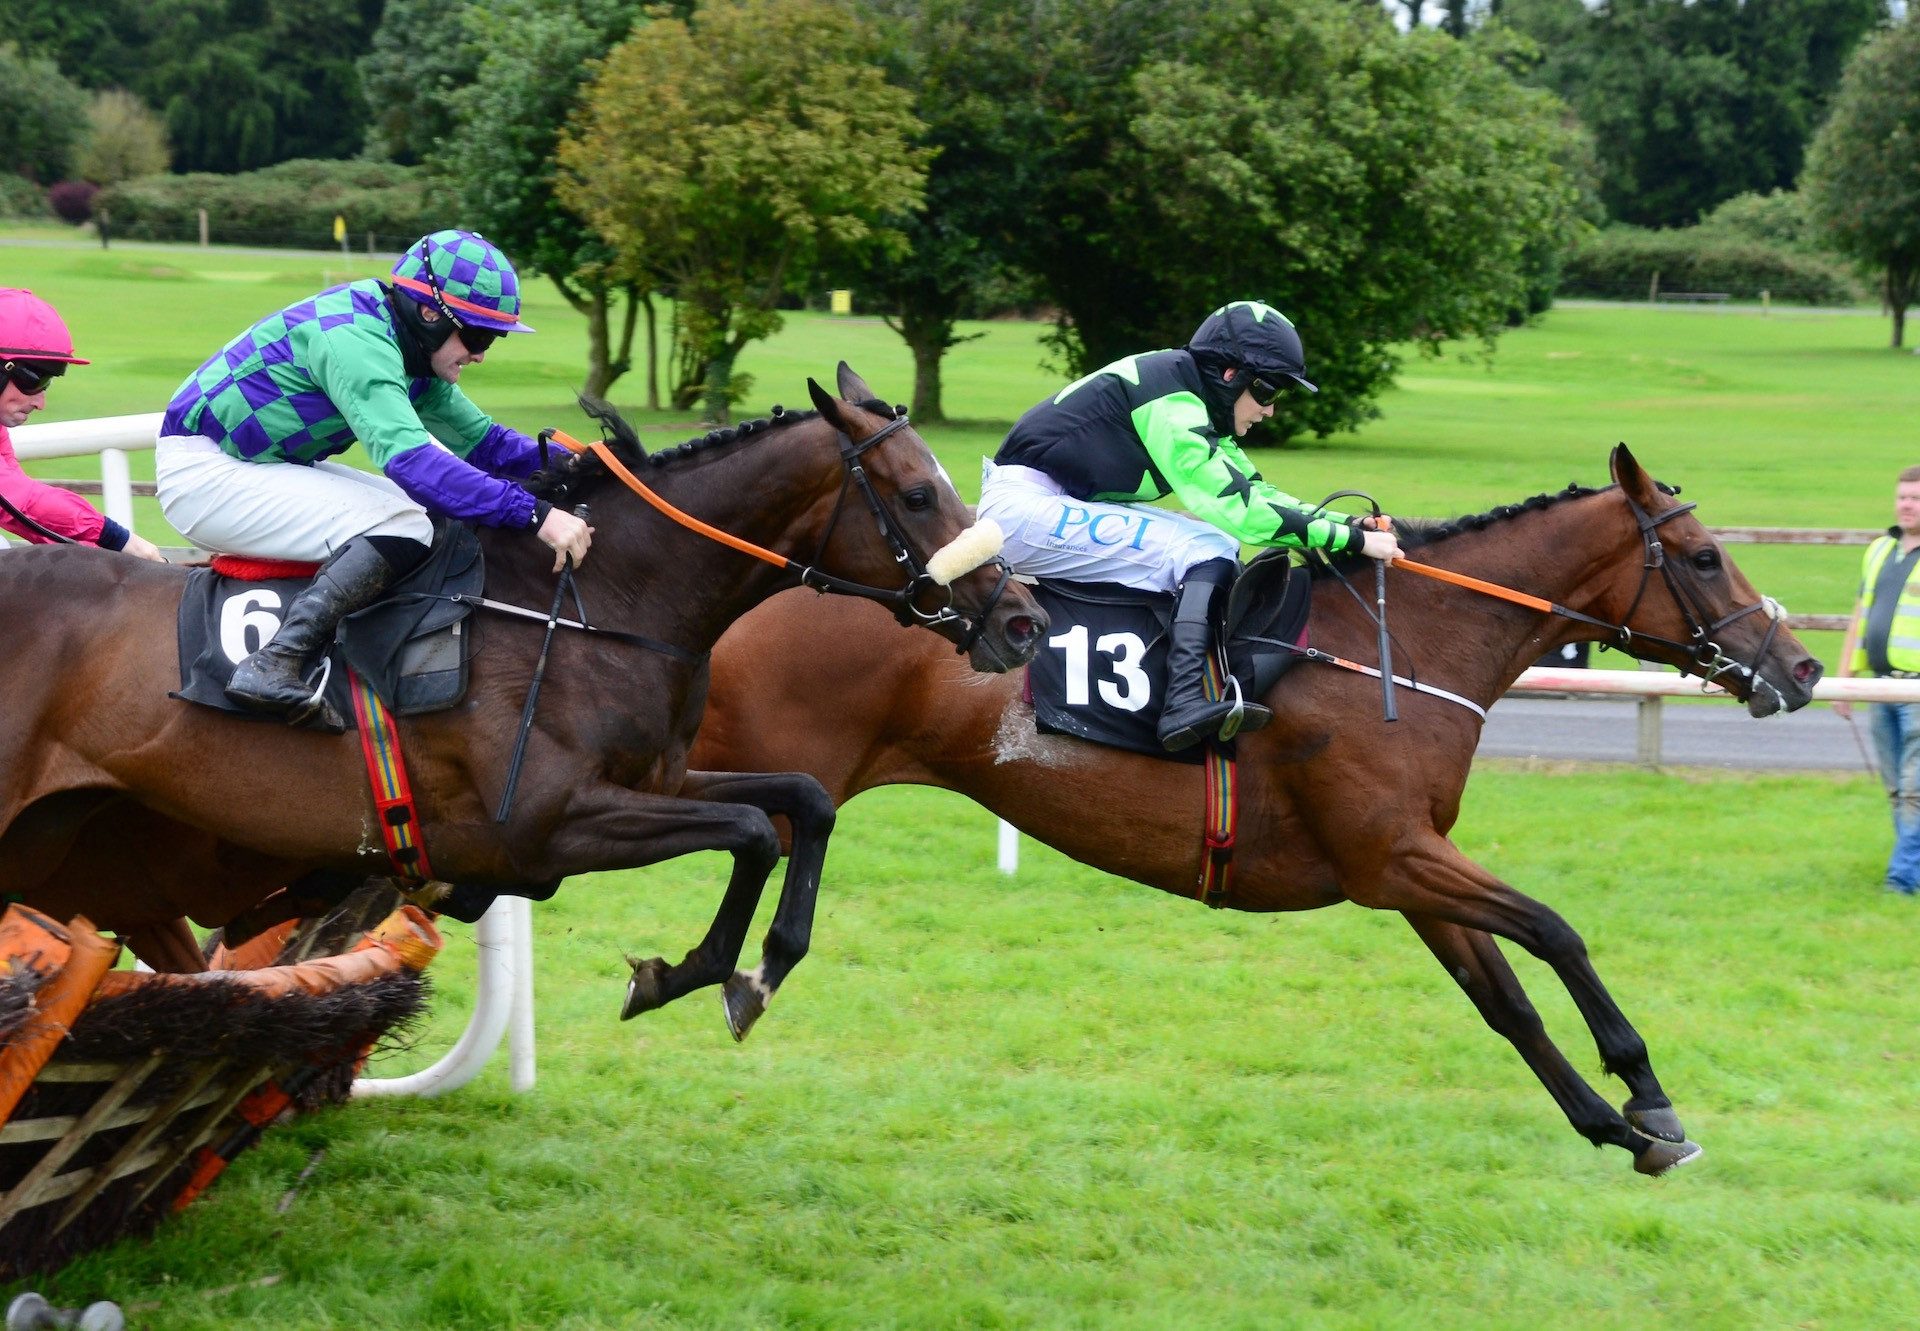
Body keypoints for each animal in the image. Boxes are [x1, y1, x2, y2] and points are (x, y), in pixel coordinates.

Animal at [0, 366, 1044, 1037]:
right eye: (918, 494)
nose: (1024, 620)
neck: (597, 603)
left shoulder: (656, 778)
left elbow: (804, 800)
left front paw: (760, 968)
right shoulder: (543, 825)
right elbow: (753, 828)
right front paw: (690, 972)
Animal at [687, 445, 1812, 1175]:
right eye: (1704, 556)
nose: (1798, 667)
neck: (1405, 644)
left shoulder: (1412, 862)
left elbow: (1508, 1002)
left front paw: (1621, 1128)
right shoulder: (1388, 856)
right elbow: (1556, 930)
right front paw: (1645, 1089)